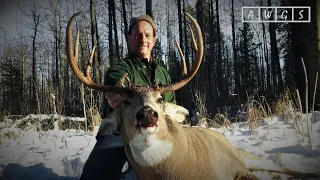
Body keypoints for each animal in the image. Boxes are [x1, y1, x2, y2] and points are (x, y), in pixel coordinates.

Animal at [66, 12, 318, 180]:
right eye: (125, 101)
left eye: (159, 99)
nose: (147, 114)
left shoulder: (238, 169)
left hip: (240, 154)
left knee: (282, 167)